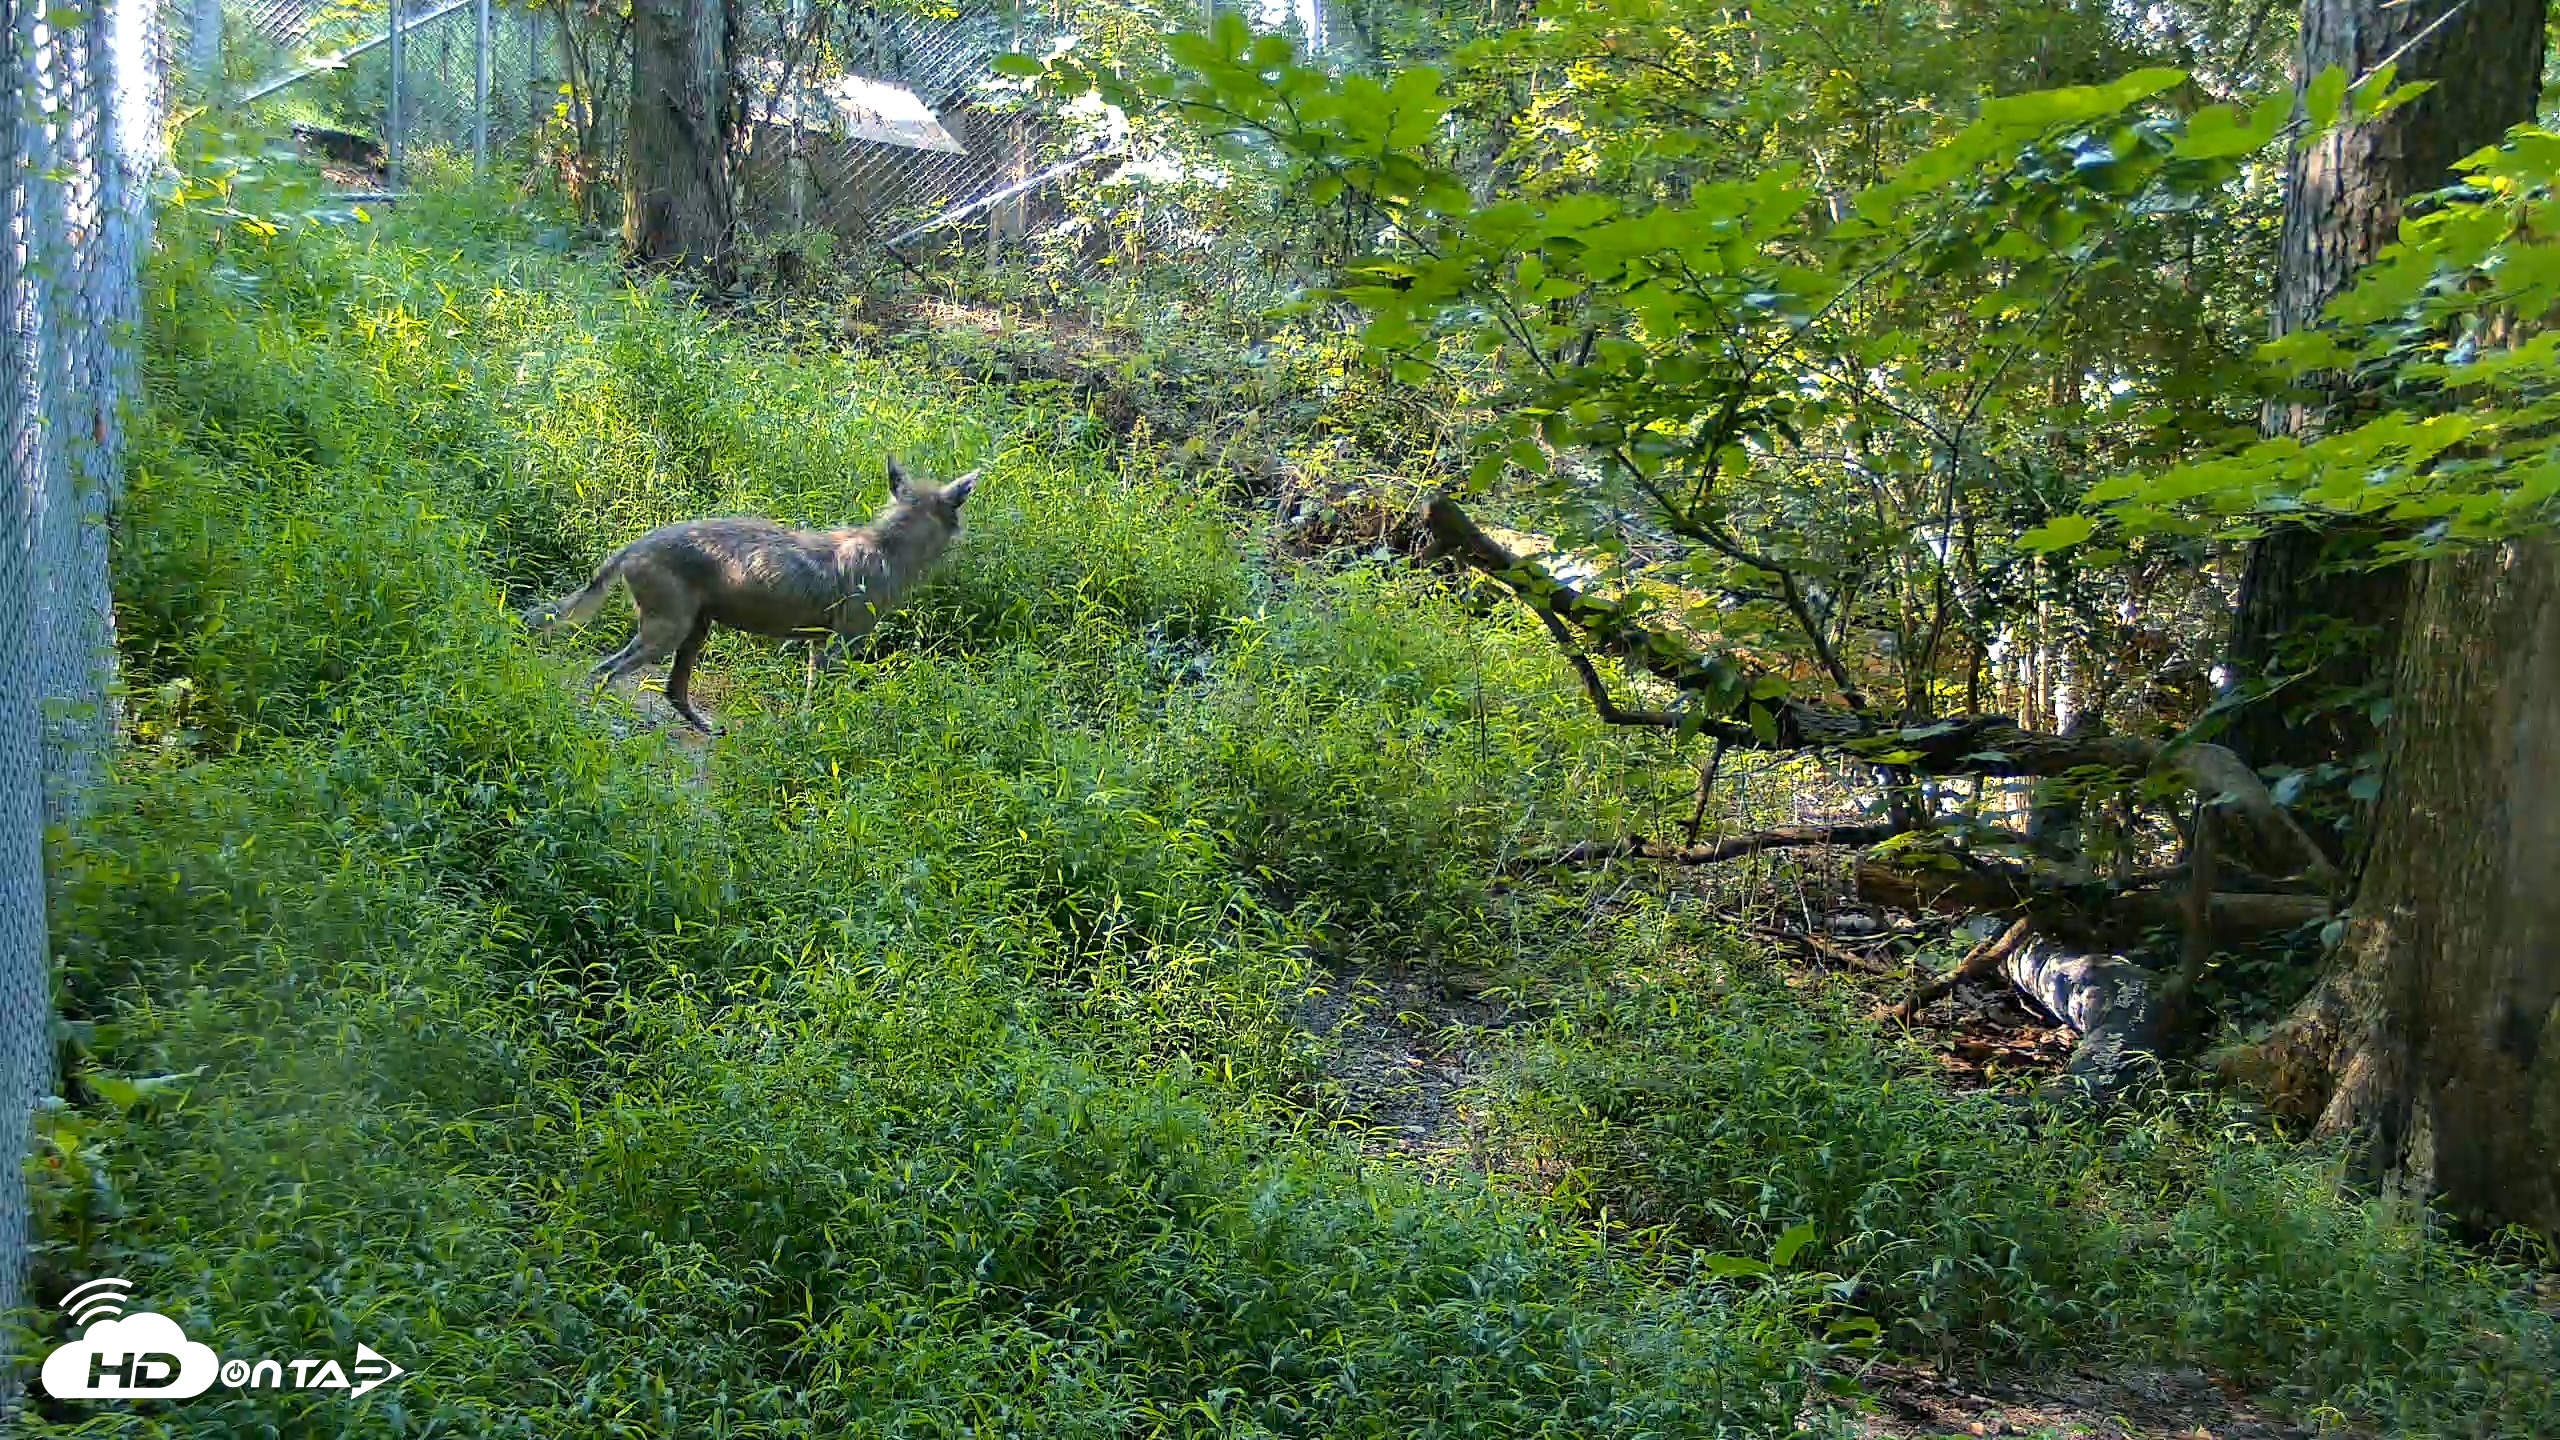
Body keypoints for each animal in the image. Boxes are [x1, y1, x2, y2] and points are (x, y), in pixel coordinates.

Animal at [525, 458, 981, 734]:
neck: (887, 550)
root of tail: (635, 545)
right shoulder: (841, 646)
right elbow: (821, 702)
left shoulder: (818, 645)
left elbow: (811, 697)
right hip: (666, 635)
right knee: (603, 673)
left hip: (694, 631)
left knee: (672, 690)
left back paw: (705, 730)